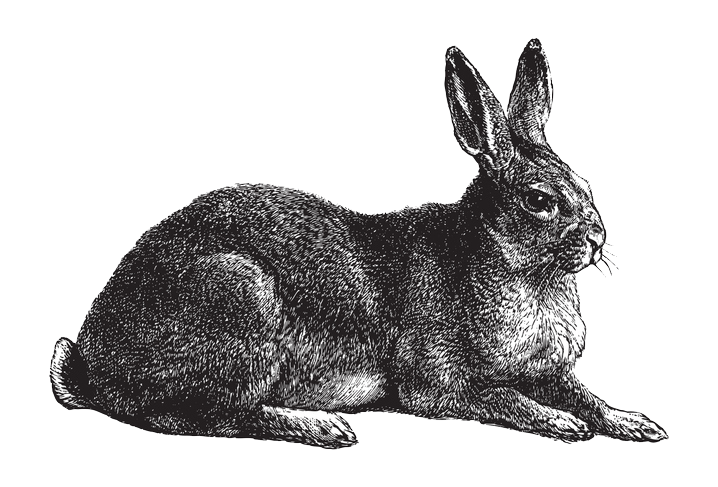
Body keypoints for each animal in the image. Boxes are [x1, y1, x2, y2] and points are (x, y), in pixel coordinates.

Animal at [50, 38, 667, 448]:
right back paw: (326, 428)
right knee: (206, 417)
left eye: (586, 185)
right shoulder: (437, 383)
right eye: (538, 200)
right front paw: (563, 425)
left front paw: (636, 424)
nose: (597, 240)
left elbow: (587, 394)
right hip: (240, 299)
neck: (513, 266)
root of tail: (93, 361)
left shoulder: (550, 371)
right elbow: (501, 399)